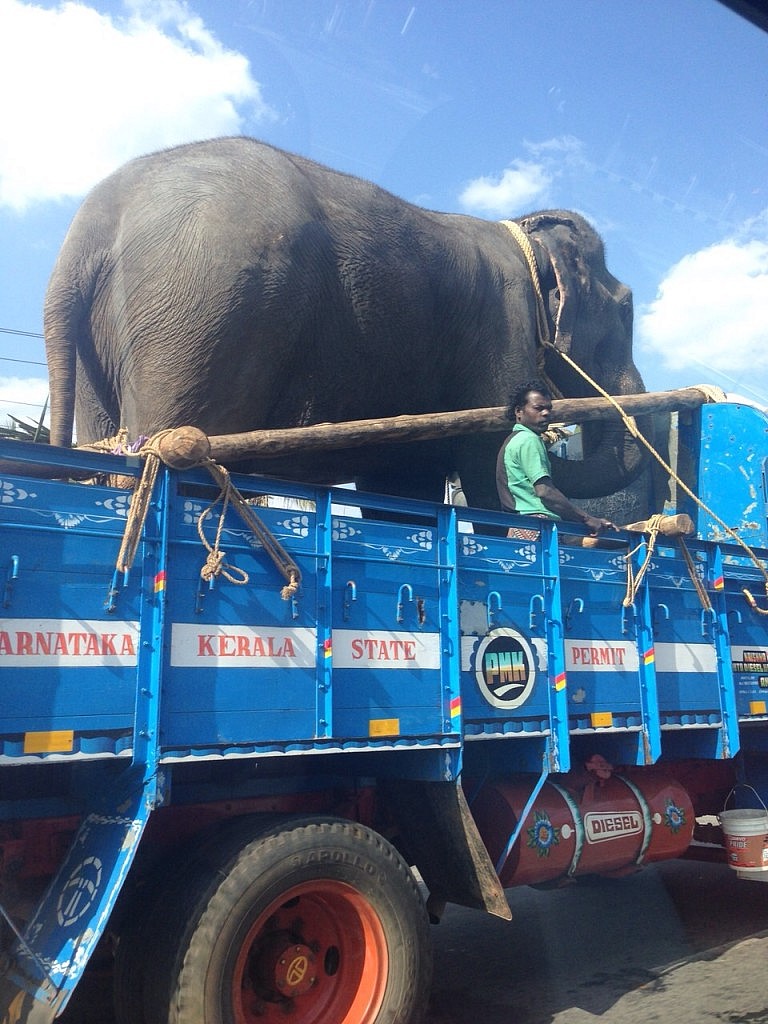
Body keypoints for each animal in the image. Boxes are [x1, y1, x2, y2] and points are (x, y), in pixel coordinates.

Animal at [44, 136, 650, 512]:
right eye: (626, 309)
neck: (522, 230)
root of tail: (86, 234)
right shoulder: (501, 329)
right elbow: (487, 466)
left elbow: (406, 489)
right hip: (198, 316)